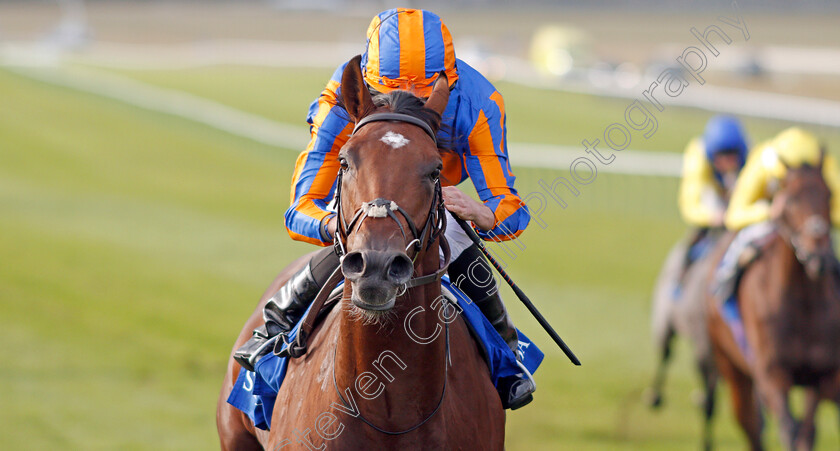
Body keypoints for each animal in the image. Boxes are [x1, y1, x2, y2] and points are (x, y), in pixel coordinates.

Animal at [708, 161, 840, 450]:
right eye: (790, 199)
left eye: (829, 196)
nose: (818, 256)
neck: (803, 304)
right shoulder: (771, 373)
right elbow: (788, 429)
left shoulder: (822, 374)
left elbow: (806, 431)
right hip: (732, 367)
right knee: (750, 424)